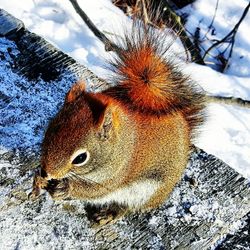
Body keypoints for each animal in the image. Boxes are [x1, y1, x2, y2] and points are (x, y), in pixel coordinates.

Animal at [30, 21, 205, 225]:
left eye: (80, 158)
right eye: (48, 132)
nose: (46, 172)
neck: (119, 144)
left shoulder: (118, 173)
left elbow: (94, 190)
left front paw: (65, 188)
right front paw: (38, 180)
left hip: (146, 191)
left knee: (126, 207)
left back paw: (107, 215)